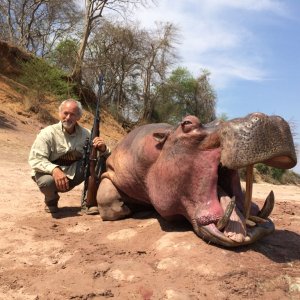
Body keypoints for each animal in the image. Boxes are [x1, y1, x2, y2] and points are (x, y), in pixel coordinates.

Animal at [97, 113, 296, 247]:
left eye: (219, 120)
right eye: (187, 122)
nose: (268, 118)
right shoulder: (112, 170)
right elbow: (107, 198)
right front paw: (127, 208)